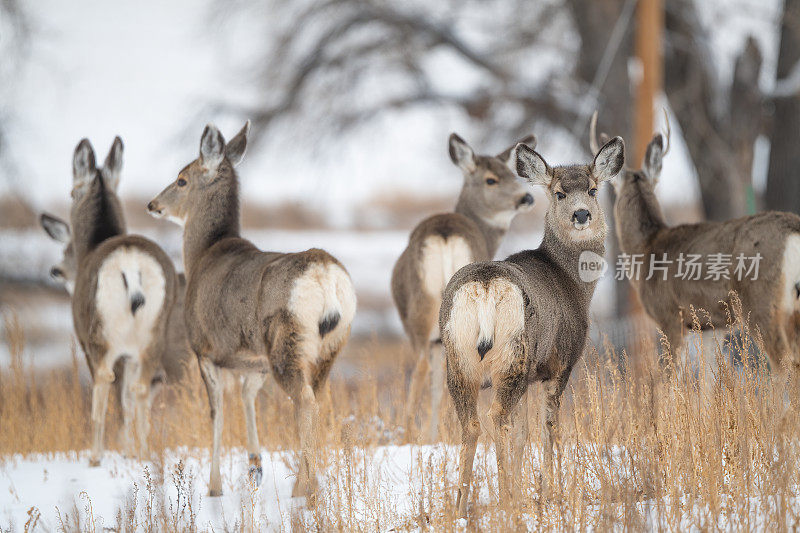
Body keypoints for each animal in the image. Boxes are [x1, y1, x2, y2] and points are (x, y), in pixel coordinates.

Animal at [55, 137, 180, 466]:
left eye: (71, 192)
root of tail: (131, 266)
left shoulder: (85, 340)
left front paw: (115, 451)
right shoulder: (132, 352)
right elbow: (128, 399)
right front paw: (130, 450)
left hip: (101, 334)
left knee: (104, 382)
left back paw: (95, 455)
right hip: (154, 334)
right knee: (139, 389)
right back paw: (145, 453)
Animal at [147, 122, 354, 496]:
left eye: (182, 179)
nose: (153, 204)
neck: (203, 255)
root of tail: (326, 275)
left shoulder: (204, 349)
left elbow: (216, 413)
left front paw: (214, 487)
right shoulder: (253, 360)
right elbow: (247, 398)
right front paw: (254, 466)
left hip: (286, 340)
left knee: (304, 401)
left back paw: (303, 489)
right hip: (331, 345)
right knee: (320, 398)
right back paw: (308, 482)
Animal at [390, 133, 536, 440]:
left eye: (512, 174)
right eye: (491, 179)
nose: (526, 197)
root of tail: (445, 233)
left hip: (421, 313)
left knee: (426, 368)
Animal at [444, 135, 624, 512]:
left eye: (593, 189)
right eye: (558, 193)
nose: (582, 214)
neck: (572, 283)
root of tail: (485, 286)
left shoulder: (532, 375)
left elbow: (524, 432)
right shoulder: (559, 363)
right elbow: (549, 428)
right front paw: (550, 490)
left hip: (459, 359)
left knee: (471, 424)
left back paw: (461, 506)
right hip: (514, 354)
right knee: (497, 416)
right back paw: (504, 498)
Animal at [592, 111, 800, 370]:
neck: (647, 248)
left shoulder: (670, 316)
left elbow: (669, 377)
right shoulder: (710, 326)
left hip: (763, 301)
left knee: (784, 364)